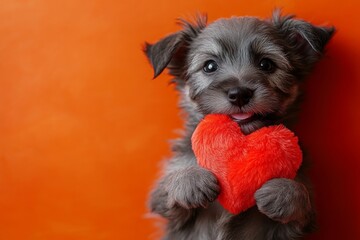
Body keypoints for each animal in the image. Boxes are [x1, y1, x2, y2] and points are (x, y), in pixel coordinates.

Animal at [143, 10, 334, 239]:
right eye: (209, 66)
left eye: (266, 64)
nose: (240, 94)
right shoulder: (170, 212)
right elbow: (169, 184)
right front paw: (189, 179)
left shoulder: (300, 220)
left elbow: (301, 195)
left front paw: (284, 192)